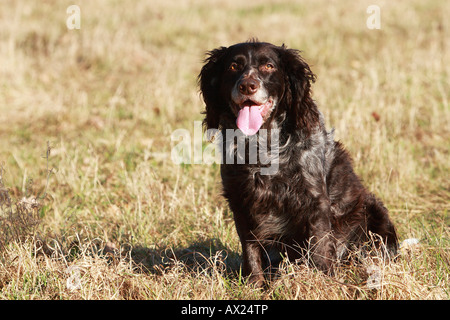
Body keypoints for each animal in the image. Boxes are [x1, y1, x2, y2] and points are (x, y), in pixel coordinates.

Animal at [197, 40, 398, 284]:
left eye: (269, 66)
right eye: (233, 66)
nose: (247, 86)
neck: (262, 147)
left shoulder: (315, 201)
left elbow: (320, 249)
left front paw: (324, 283)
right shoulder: (241, 202)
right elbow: (251, 251)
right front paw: (254, 284)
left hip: (373, 210)